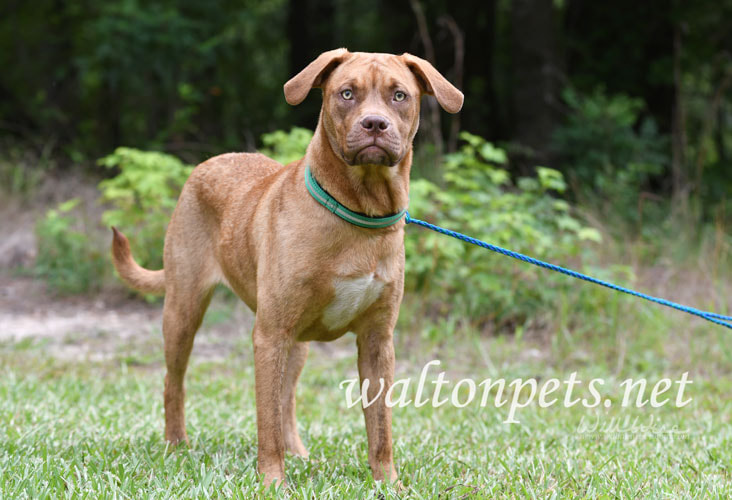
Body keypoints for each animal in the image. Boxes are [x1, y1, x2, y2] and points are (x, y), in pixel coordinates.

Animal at [110, 48, 464, 486]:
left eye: (399, 95)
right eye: (347, 93)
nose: (374, 124)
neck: (358, 213)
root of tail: (208, 163)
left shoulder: (378, 340)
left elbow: (380, 426)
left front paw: (388, 482)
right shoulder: (269, 334)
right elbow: (266, 422)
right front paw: (272, 482)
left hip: (297, 343)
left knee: (287, 399)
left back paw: (297, 451)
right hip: (184, 308)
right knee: (173, 382)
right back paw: (176, 444)